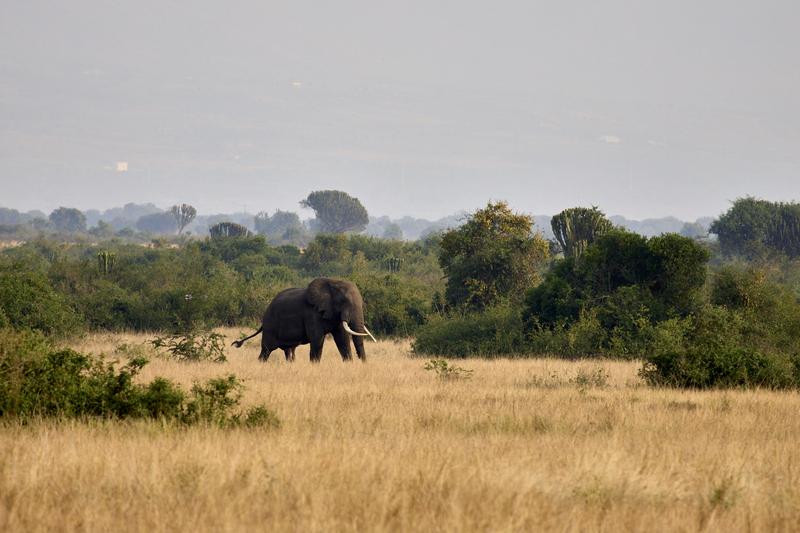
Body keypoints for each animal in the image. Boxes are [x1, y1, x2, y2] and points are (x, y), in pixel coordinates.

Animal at [233, 278, 376, 362]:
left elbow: (343, 339)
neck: (333, 282)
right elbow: (317, 340)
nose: (363, 363)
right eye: (343, 302)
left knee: (287, 350)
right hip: (270, 325)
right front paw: (315, 366)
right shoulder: (311, 314)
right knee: (266, 350)